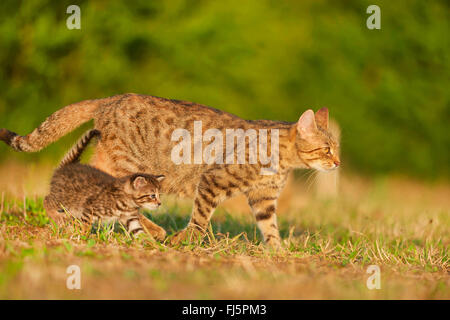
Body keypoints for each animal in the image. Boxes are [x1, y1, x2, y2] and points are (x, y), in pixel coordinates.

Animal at [0, 93, 340, 248]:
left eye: (337, 147)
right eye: (326, 149)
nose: (337, 163)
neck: (284, 160)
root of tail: (111, 98)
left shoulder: (263, 199)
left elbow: (270, 227)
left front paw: (278, 252)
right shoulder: (213, 179)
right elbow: (200, 218)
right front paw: (187, 240)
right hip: (131, 166)